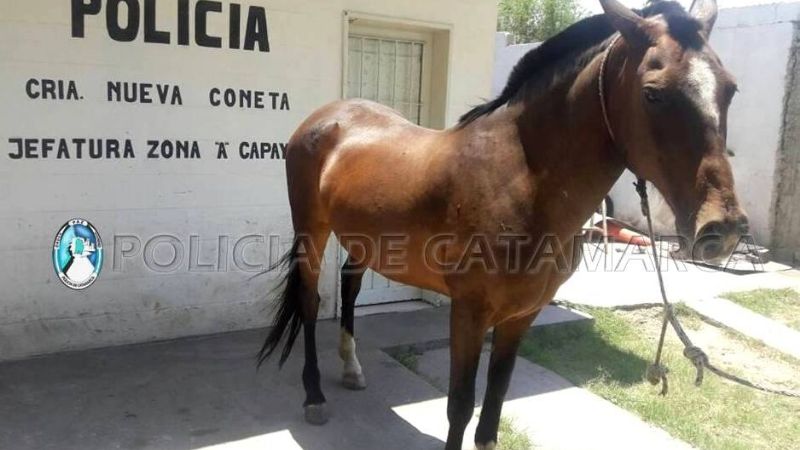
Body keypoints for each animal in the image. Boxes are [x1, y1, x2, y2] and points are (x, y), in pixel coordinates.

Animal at [259, 0, 748, 448]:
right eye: (653, 93)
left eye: (730, 90)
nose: (721, 229)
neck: (521, 179)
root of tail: (325, 118)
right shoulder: (469, 312)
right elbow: (460, 406)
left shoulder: (522, 316)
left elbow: (493, 408)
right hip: (313, 232)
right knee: (310, 302)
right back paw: (314, 396)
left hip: (362, 239)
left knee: (350, 284)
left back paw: (352, 368)